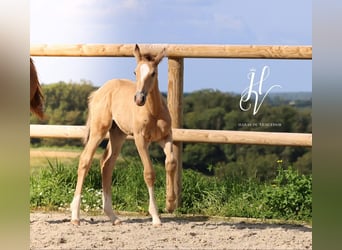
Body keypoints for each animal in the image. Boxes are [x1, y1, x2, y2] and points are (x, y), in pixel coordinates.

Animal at [69, 45, 176, 227]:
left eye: (153, 73)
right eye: (135, 72)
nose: (139, 98)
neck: (153, 111)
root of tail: (98, 92)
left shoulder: (166, 137)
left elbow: (171, 163)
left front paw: (171, 204)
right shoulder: (140, 140)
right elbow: (149, 173)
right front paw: (155, 216)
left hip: (118, 134)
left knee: (107, 164)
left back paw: (113, 216)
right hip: (99, 130)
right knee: (85, 161)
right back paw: (75, 216)